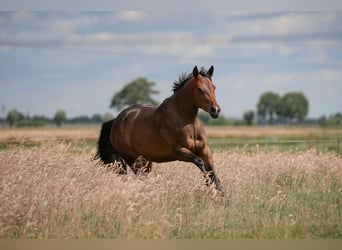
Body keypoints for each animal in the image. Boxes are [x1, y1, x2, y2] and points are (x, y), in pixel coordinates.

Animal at [95, 65, 224, 194]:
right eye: (199, 89)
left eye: (214, 87)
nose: (215, 110)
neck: (188, 123)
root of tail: (116, 120)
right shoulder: (179, 151)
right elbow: (200, 163)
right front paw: (209, 187)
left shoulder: (205, 150)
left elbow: (213, 173)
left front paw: (221, 195)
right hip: (132, 160)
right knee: (136, 176)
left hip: (145, 160)